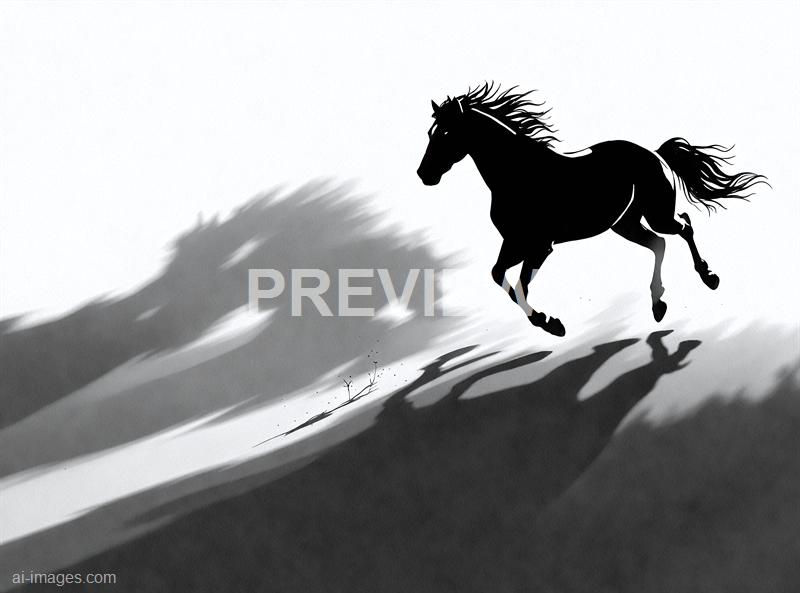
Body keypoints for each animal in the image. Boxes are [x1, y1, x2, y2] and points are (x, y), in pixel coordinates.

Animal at [416, 83, 767, 336]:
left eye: (445, 133)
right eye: (430, 133)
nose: (424, 175)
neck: (521, 174)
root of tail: (655, 153)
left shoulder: (539, 245)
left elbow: (521, 285)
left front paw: (550, 323)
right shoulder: (514, 242)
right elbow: (500, 276)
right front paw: (549, 322)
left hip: (656, 215)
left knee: (684, 227)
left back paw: (708, 277)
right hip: (625, 224)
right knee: (660, 243)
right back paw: (658, 304)